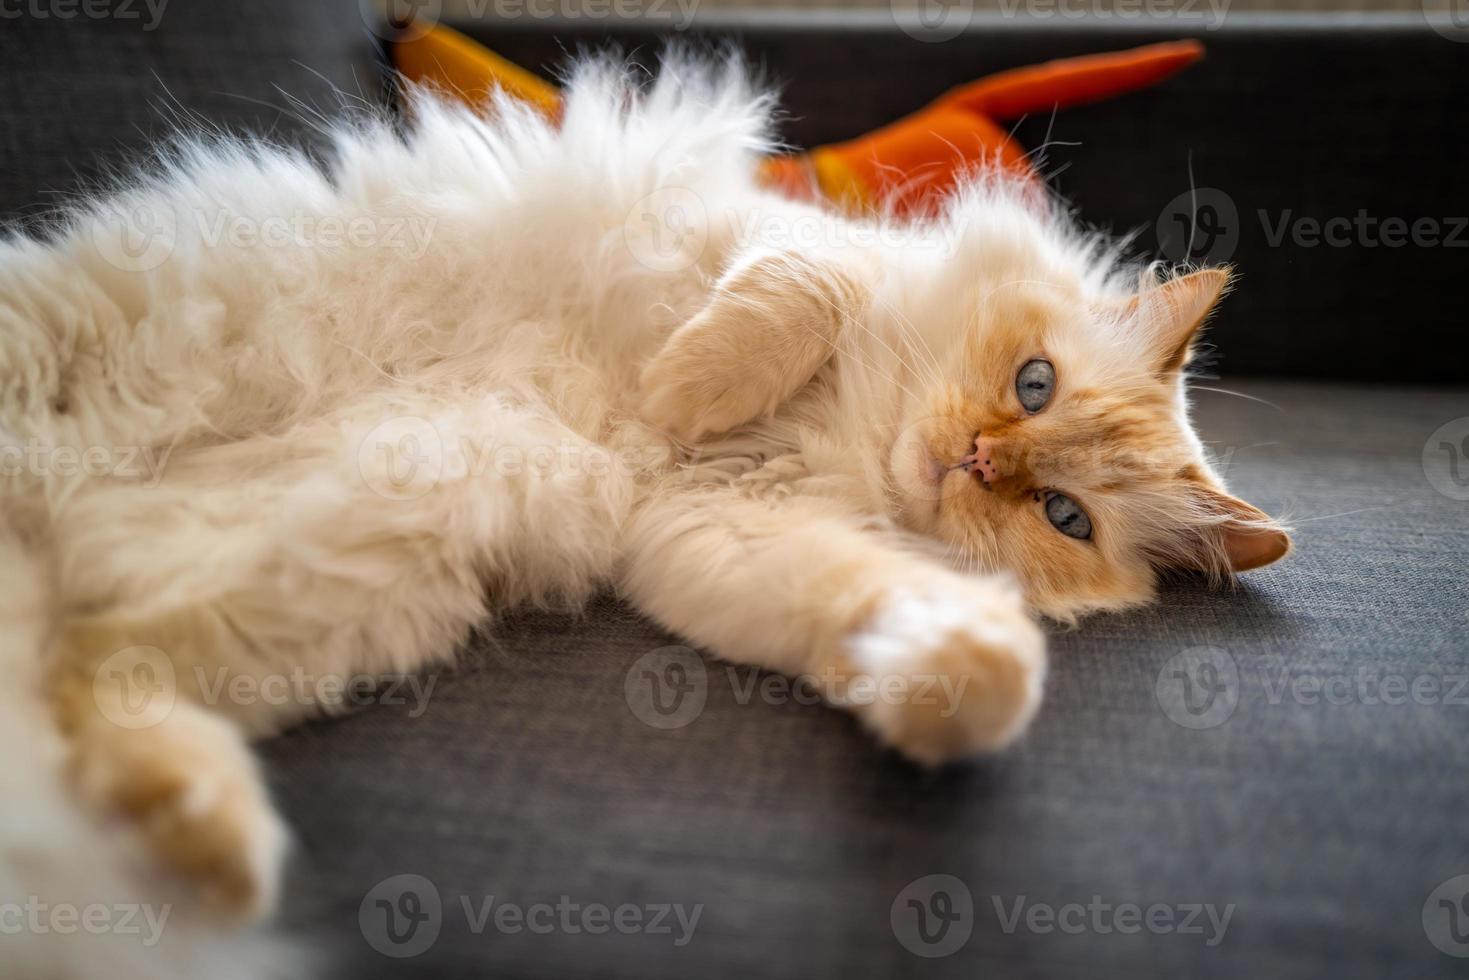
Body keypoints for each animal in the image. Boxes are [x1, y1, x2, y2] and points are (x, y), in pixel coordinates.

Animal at [0, 49, 1286, 963]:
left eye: (1062, 517)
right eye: (1032, 384)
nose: (975, 461)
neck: (852, 440)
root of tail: (56, 520)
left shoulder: (721, 531)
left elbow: (894, 614)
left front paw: (960, 674)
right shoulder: (778, 241)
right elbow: (796, 294)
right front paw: (685, 386)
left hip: (347, 584)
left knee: (89, 677)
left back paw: (203, 839)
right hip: (72, 355)